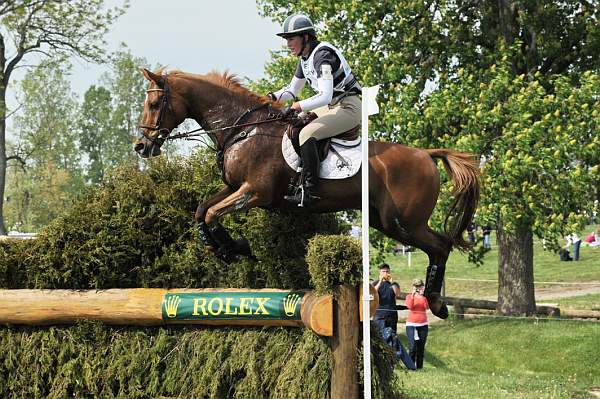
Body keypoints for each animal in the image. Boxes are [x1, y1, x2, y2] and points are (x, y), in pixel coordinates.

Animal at [134, 68, 480, 318]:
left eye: (154, 104)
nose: (141, 146)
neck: (242, 129)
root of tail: (426, 154)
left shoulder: (255, 192)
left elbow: (211, 213)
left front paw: (232, 248)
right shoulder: (234, 187)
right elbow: (202, 211)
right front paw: (224, 246)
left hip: (404, 223)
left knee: (440, 246)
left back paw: (436, 302)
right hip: (385, 221)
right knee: (438, 246)